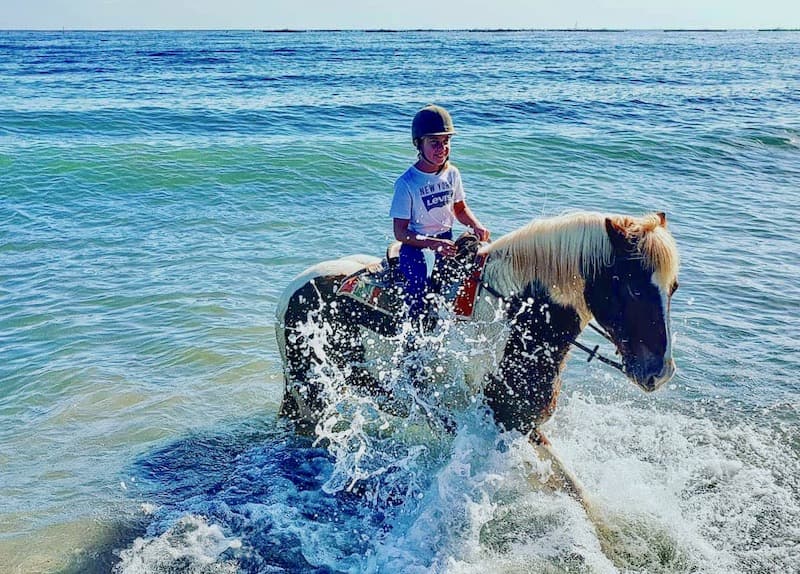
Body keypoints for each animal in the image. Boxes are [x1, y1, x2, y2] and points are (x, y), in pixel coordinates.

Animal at [275, 211, 679, 444]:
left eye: (673, 287)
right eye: (633, 287)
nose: (659, 373)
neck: (513, 320)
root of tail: (289, 292)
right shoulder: (504, 425)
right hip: (313, 392)